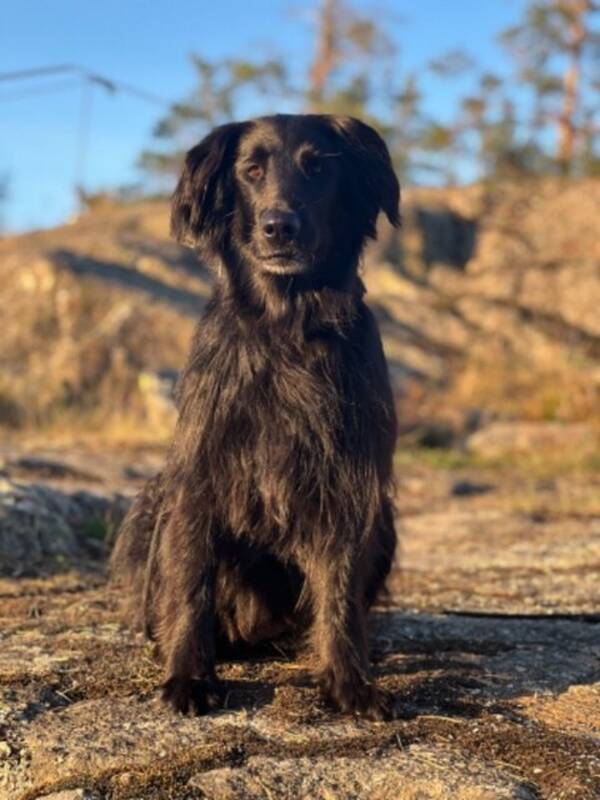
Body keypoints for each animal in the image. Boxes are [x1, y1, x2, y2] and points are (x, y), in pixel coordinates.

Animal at [110, 112, 400, 720]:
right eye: (252, 171)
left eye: (318, 168)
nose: (278, 227)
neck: (286, 325)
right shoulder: (198, 476)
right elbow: (190, 580)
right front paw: (189, 675)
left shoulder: (348, 480)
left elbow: (339, 589)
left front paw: (350, 681)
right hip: (148, 506)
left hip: (384, 519)